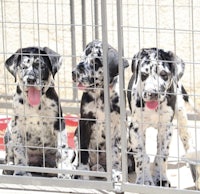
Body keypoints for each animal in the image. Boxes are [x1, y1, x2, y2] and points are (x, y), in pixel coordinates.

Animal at [3, 46, 75, 177]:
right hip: (9, 132)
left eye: (41, 66)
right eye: (23, 67)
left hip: (72, 150)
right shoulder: (17, 125)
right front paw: (21, 172)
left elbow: (61, 152)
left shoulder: (59, 124)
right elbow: (19, 150)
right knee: (9, 156)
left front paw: (63, 173)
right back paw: (9, 167)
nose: (31, 79)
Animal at [71, 40, 130, 181]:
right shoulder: (84, 122)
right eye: (82, 57)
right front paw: (83, 171)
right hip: (76, 134)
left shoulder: (119, 126)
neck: (101, 95)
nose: (74, 73)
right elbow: (83, 151)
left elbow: (115, 152)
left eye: (95, 63)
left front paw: (116, 172)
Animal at [126, 47, 194, 186]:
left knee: (185, 135)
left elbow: (162, 155)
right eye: (144, 75)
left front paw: (161, 179)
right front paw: (144, 180)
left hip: (181, 113)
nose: (152, 93)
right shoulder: (135, 129)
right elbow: (141, 156)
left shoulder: (166, 129)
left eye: (164, 74)